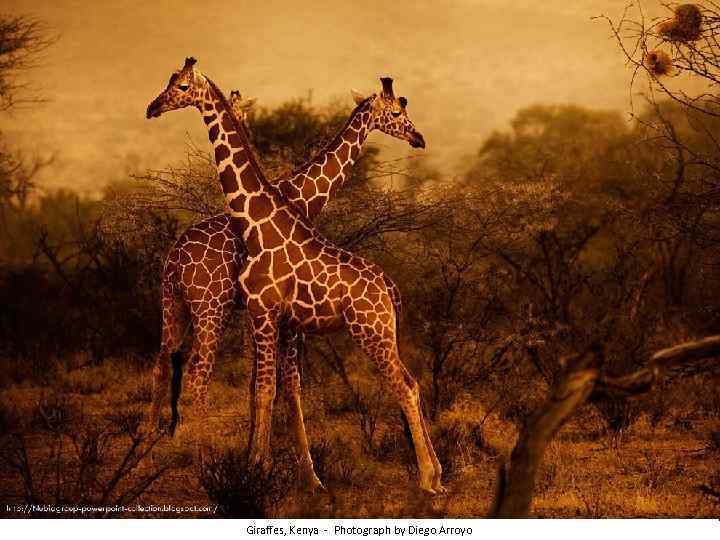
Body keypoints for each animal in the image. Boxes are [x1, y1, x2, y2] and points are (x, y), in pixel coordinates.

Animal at [148, 58, 444, 494]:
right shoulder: (269, 316)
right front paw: (272, 466)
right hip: (199, 307)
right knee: (185, 369)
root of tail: (173, 259)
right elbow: (272, 388)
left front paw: (273, 467)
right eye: (396, 113)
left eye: (181, 85)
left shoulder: (272, 317)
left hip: (200, 309)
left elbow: (276, 388)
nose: (418, 137)